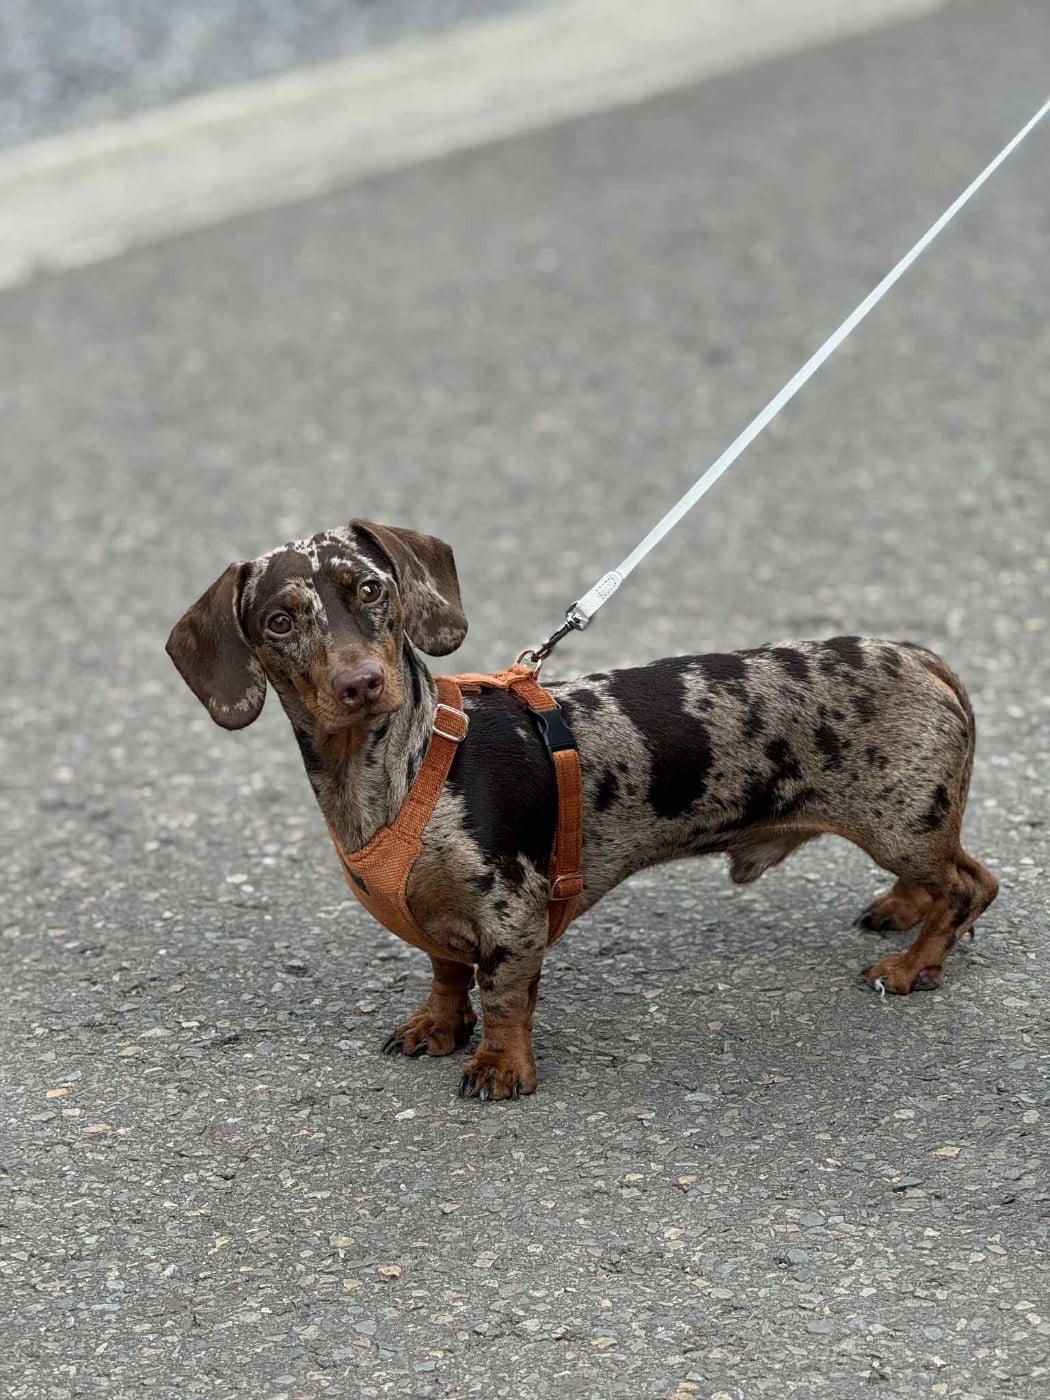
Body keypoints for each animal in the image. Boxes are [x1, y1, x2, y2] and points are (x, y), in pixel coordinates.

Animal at [167, 520, 999, 1100]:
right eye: (280, 620)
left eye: (370, 590)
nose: (362, 683)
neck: (399, 766)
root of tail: (918, 655)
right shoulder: (438, 916)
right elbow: (445, 971)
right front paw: (438, 1026)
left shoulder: (511, 913)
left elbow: (503, 995)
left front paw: (499, 1065)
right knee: (951, 876)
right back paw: (901, 909)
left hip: (899, 824)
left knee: (972, 884)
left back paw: (913, 963)